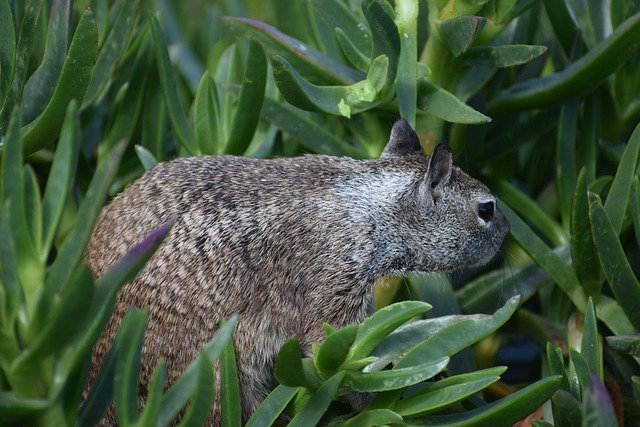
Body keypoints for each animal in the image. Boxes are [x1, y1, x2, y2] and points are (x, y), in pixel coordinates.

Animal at [84, 119, 509, 425]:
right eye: (486, 209)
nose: (507, 230)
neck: (371, 206)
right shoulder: (336, 285)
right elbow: (338, 355)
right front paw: (379, 397)